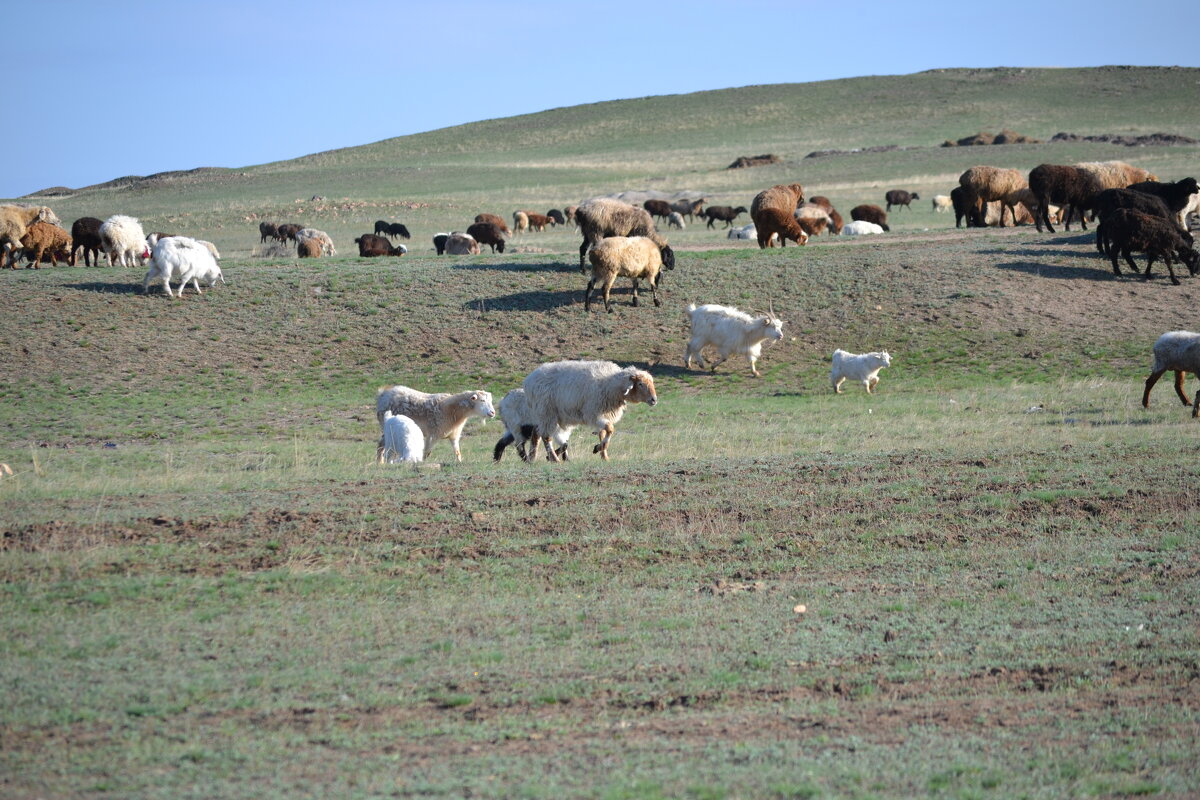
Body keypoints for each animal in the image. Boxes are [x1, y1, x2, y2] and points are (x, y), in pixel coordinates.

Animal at [523, 357, 657, 460]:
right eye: (640, 384)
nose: (654, 400)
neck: (610, 385)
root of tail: (528, 381)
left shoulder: (603, 414)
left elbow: (603, 433)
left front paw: (604, 455)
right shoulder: (593, 414)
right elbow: (610, 429)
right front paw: (599, 448)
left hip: (547, 414)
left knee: (536, 433)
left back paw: (533, 457)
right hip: (546, 412)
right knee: (546, 436)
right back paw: (554, 458)